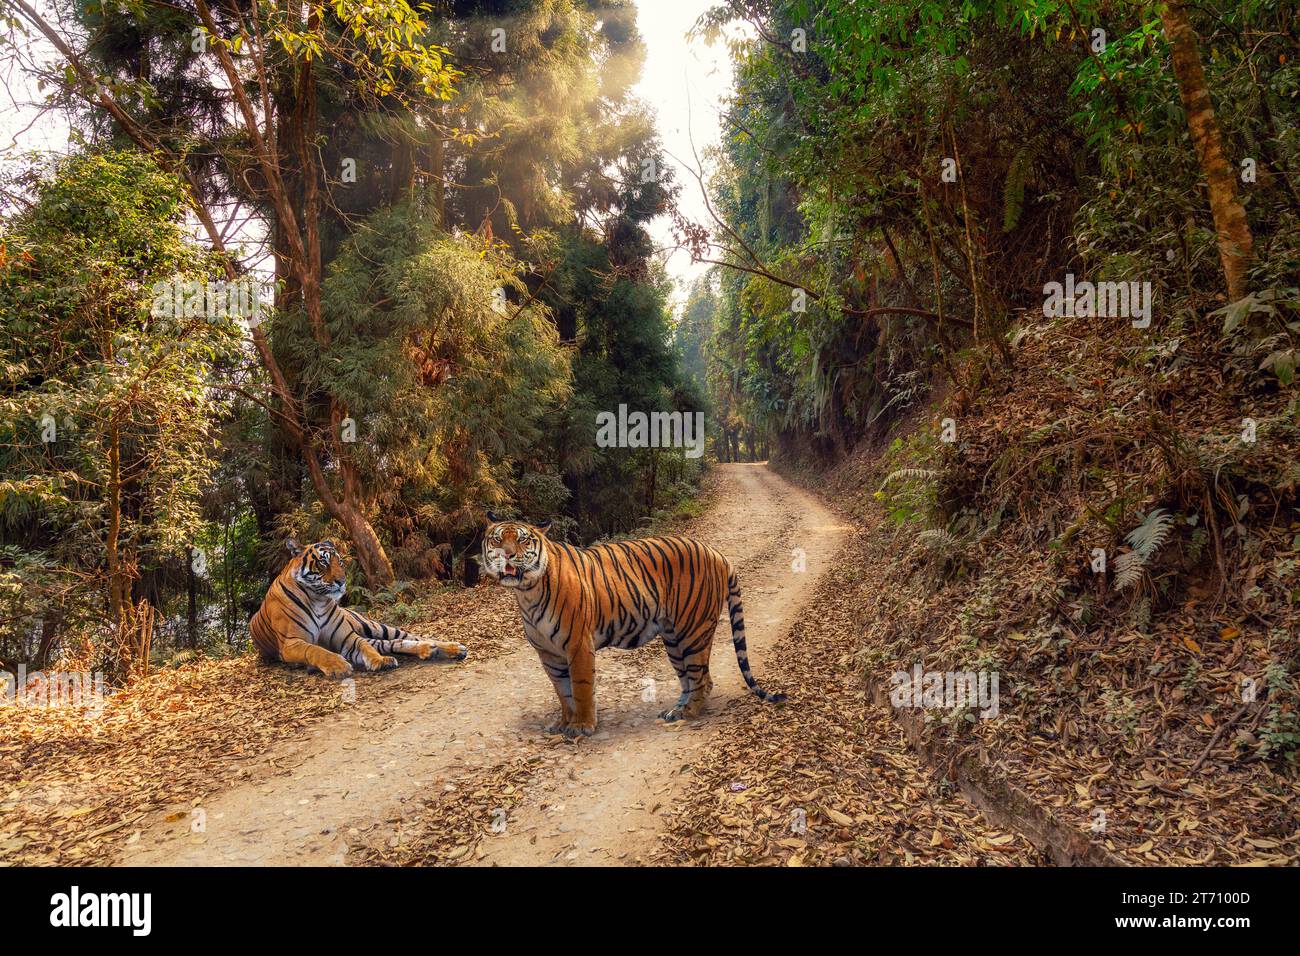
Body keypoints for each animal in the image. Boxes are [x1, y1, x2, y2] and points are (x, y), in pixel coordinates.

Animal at [249, 538, 467, 681]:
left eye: (340, 562)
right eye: (323, 562)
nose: (342, 581)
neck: (318, 599)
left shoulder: (347, 637)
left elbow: (363, 646)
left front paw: (379, 661)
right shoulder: (291, 643)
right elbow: (316, 650)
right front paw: (339, 666)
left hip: (376, 626)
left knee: (410, 636)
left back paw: (454, 648)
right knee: (394, 643)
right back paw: (430, 650)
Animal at [478, 515, 780, 738]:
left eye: (522, 539)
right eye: (497, 539)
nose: (506, 555)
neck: (527, 592)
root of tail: (716, 553)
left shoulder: (578, 644)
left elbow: (581, 687)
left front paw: (582, 726)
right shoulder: (548, 653)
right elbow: (563, 692)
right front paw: (564, 722)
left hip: (693, 630)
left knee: (702, 678)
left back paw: (688, 714)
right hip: (673, 638)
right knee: (690, 678)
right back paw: (675, 711)